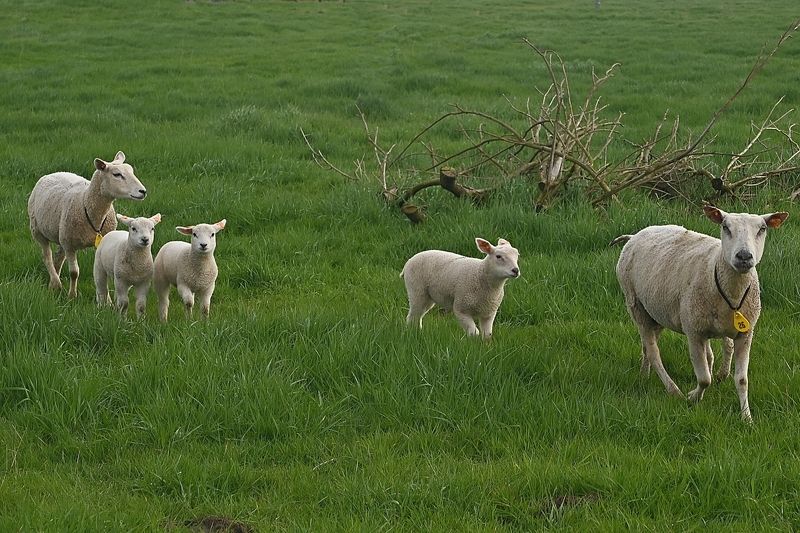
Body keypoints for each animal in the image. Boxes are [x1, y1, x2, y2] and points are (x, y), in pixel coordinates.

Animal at [27, 151, 148, 298]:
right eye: (117, 174)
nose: (143, 191)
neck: (85, 202)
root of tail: (55, 172)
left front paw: (106, 298)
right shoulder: (70, 246)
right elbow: (74, 273)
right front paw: (72, 296)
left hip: (62, 234)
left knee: (58, 257)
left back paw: (52, 282)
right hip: (38, 231)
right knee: (47, 257)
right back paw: (56, 282)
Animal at [611, 205, 788, 421]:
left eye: (762, 229)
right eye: (725, 227)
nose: (744, 256)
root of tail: (635, 235)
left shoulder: (745, 334)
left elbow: (741, 379)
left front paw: (746, 417)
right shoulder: (694, 332)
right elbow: (704, 378)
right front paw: (692, 397)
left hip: (655, 311)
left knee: (647, 346)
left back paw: (644, 375)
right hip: (635, 304)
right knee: (653, 352)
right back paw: (673, 390)